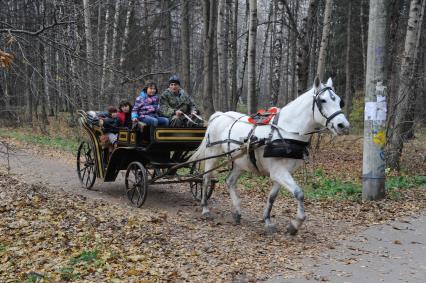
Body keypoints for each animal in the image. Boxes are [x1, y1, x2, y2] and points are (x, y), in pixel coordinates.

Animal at [190, 77, 350, 235]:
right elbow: (299, 193)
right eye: (323, 100)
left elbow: (272, 197)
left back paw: (237, 212)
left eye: (339, 101)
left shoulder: (282, 172)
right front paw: (295, 224)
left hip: (241, 162)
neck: (287, 131)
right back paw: (205, 209)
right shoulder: (278, 172)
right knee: (205, 179)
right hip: (213, 155)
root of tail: (219, 115)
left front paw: (268, 221)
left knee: (229, 181)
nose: (344, 126)